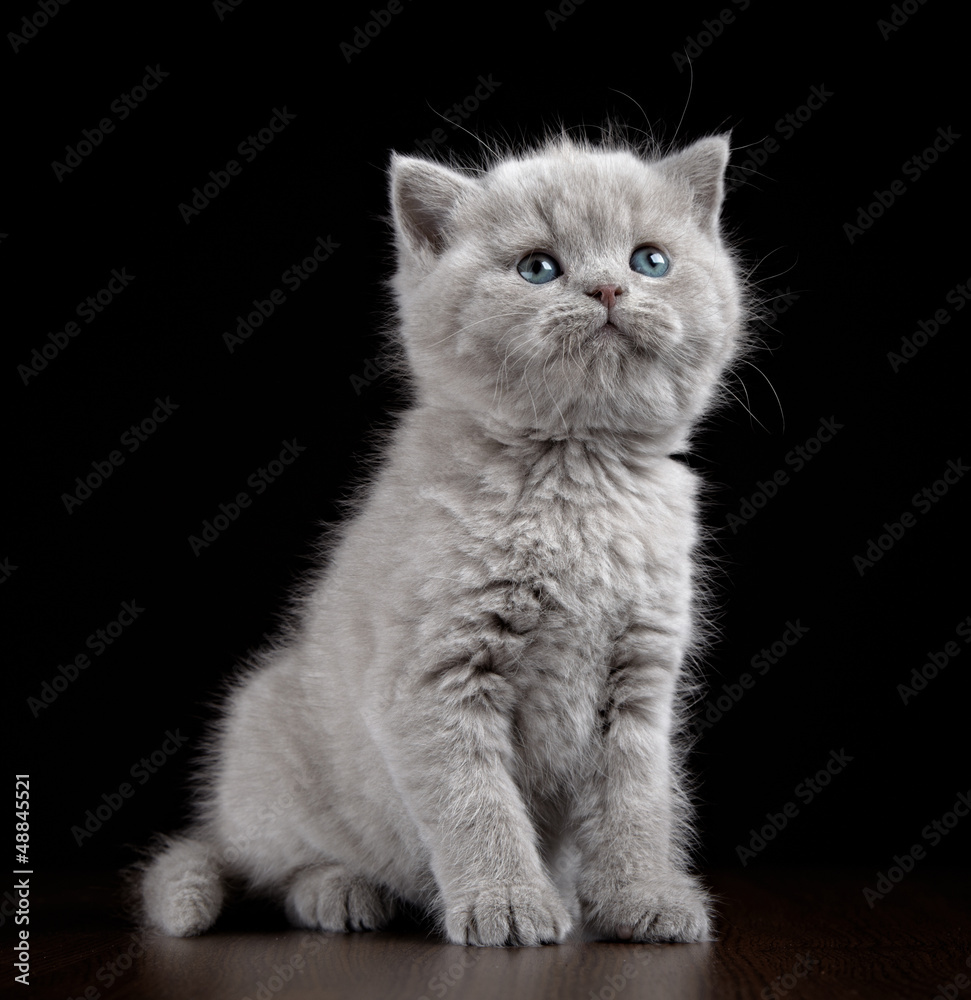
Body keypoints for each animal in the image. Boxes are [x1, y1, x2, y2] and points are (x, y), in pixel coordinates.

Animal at [139, 131, 744, 944]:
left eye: (649, 260)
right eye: (537, 267)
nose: (608, 291)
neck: (575, 478)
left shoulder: (642, 682)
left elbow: (636, 805)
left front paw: (641, 897)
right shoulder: (435, 676)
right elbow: (475, 804)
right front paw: (508, 905)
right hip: (262, 739)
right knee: (277, 869)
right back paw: (342, 894)